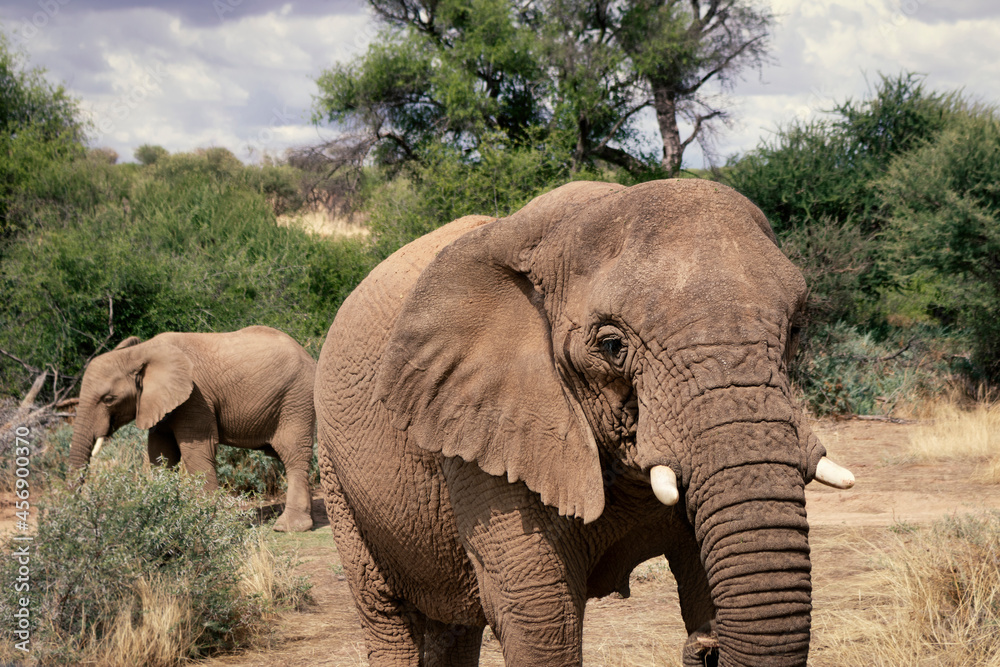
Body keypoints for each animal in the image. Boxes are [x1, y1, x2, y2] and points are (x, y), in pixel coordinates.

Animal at [70, 325, 317, 532]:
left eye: (108, 399)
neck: (141, 352)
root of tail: (308, 354)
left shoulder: (195, 398)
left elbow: (197, 452)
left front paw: (208, 523)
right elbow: (160, 453)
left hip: (296, 400)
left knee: (293, 454)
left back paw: (289, 527)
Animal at [314, 179, 855, 665]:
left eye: (796, 330)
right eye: (612, 346)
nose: (703, 646)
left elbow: (707, 574)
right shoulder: (485, 437)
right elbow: (540, 619)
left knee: (456, 630)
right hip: (339, 481)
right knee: (387, 614)